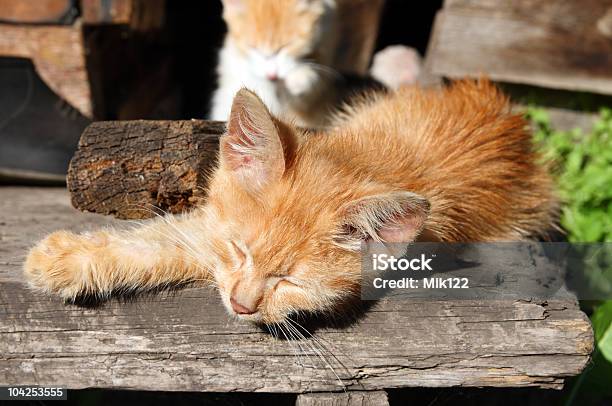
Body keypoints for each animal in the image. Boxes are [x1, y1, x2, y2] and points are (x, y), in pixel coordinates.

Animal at [26, 81, 556, 326]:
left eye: (290, 282)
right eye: (239, 250)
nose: (242, 308)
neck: (368, 158)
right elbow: (171, 240)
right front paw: (67, 257)